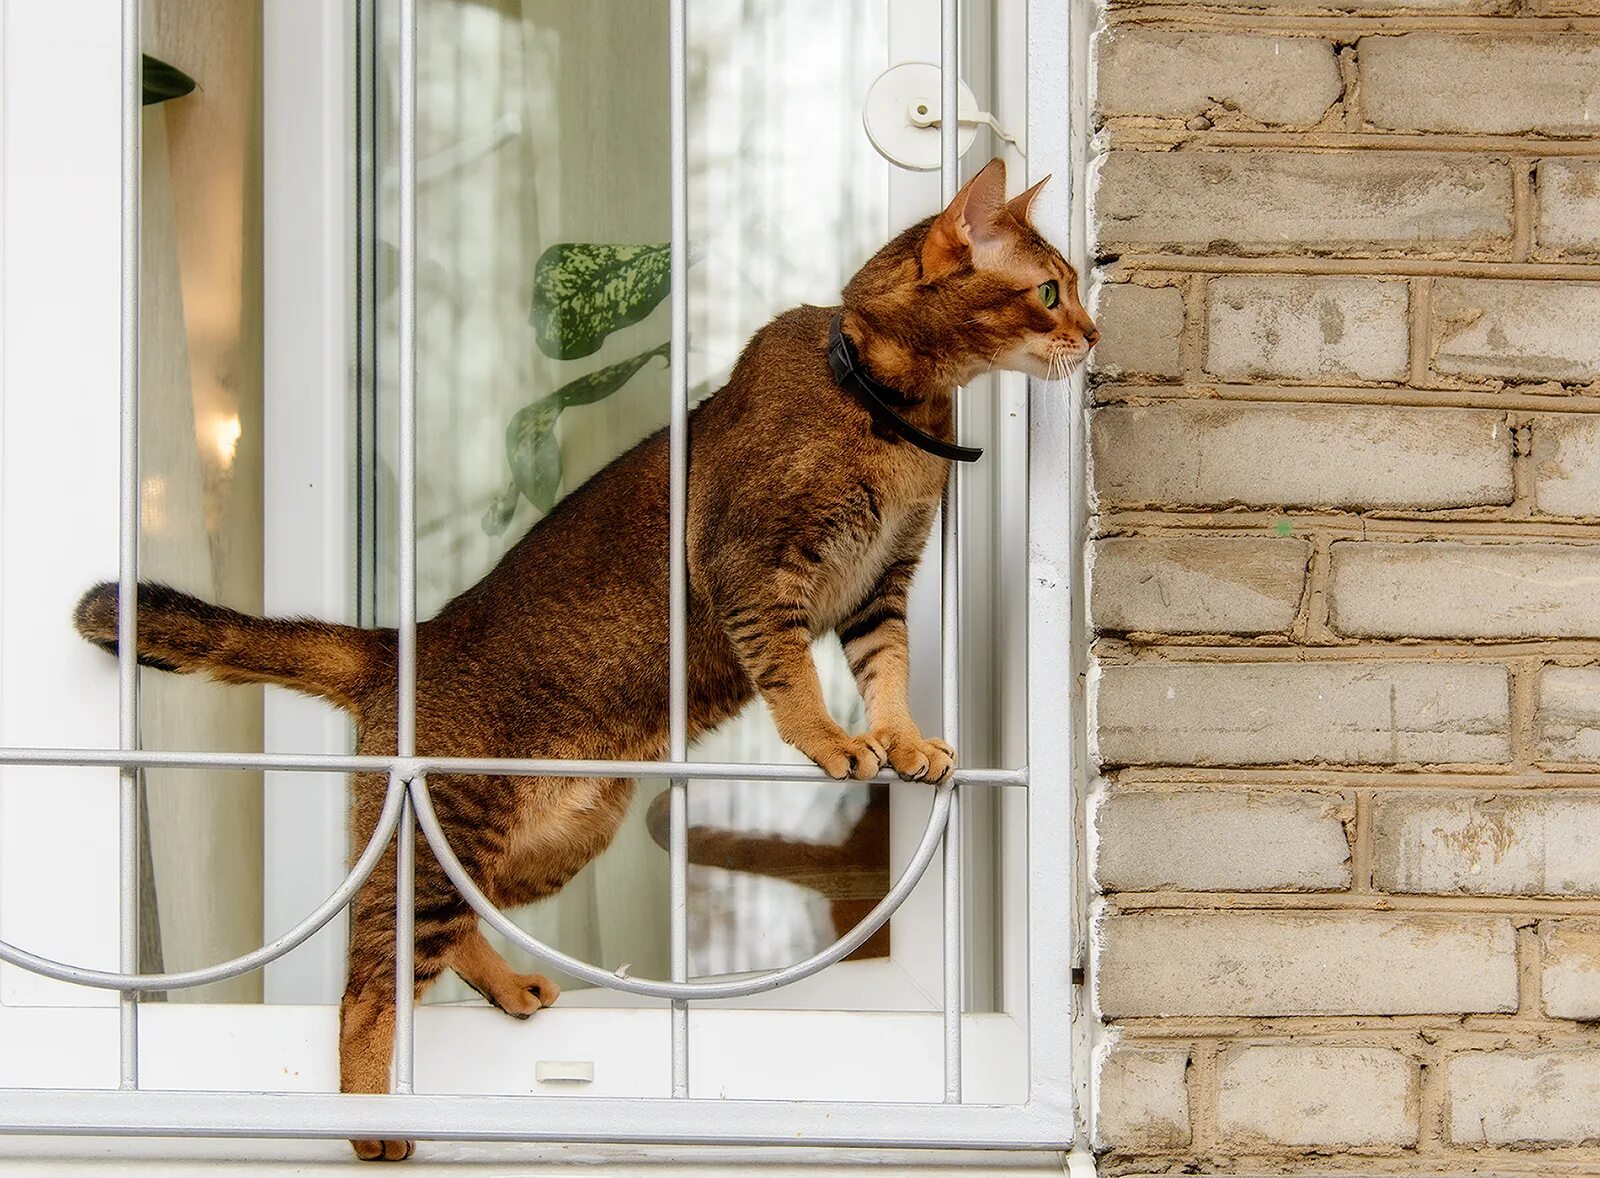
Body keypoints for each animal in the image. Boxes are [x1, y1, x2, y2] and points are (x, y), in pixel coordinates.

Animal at [75, 156, 1100, 1158]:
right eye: (1050, 290)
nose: (1091, 334)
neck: (890, 407)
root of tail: (404, 646)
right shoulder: (748, 565)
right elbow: (791, 672)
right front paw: (831, 739)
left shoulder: (880, 584)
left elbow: (889, 667)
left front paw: (905, 739)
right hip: (450, 814)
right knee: (367, 987)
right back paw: (371, 1125)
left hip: (564, 831)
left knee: (457, 919)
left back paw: (507, 985)